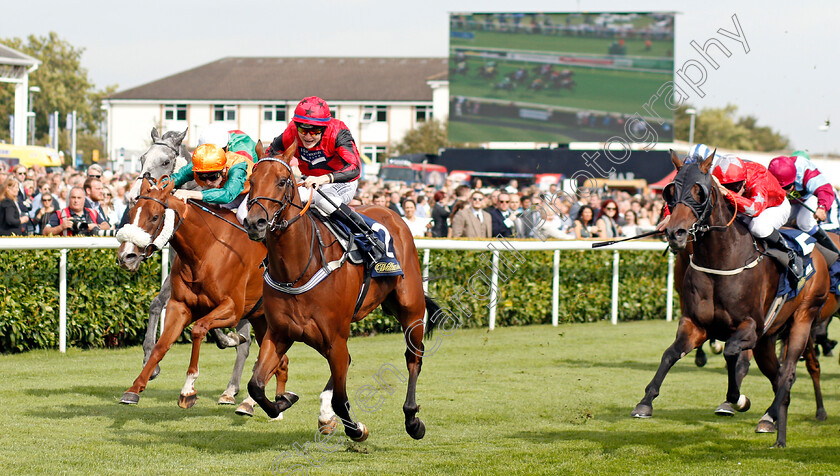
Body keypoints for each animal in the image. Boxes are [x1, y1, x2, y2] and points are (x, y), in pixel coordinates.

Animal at [116, 178, 290, 412]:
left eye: (154, 217)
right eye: (132, 213)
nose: (126, 256)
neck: (206, 249)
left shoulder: (233, 308)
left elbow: (198, 329)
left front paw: (188, 389)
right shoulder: (180, 306)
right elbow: (162, 345)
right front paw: (135, 388)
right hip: (262, 318)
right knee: (279, 360)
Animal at [241, 143, 442, 440]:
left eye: (282, 181)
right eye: (251, 181)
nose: (255, 223)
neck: (297, 271)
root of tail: (393, 214)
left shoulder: (335, 338)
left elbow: (340, 397)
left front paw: (357, 429)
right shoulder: (279, 333)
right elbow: (255, 384)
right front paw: (283, 401)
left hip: (411, 307)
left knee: (413, 357)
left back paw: (412, 420)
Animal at [632, 151, 832, 448]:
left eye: (700, 192)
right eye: (670, 192)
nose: (675, 233)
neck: (721, 261)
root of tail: (815, 250)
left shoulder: (749, 327)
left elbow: (730, 352)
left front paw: (737, 399)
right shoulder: (695, 325)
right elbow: (670, 354)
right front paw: (645, 402)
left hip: (803, 318)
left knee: (788, 373)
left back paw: (777, 424)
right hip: (767, 340)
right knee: (776, 377)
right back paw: (771, 418)